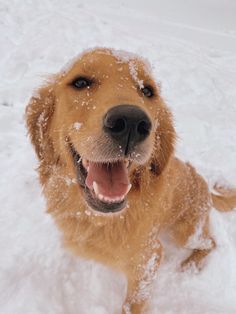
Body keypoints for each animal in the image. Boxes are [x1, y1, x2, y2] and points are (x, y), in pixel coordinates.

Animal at [25, 47, 236, 312]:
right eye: (80, 82)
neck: (101, 218)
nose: (131, 122)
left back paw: (190, 265)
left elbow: (132, 304)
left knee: (210, 242)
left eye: (148, 91)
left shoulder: (149, 260)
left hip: (185, 232)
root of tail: (205, 184)